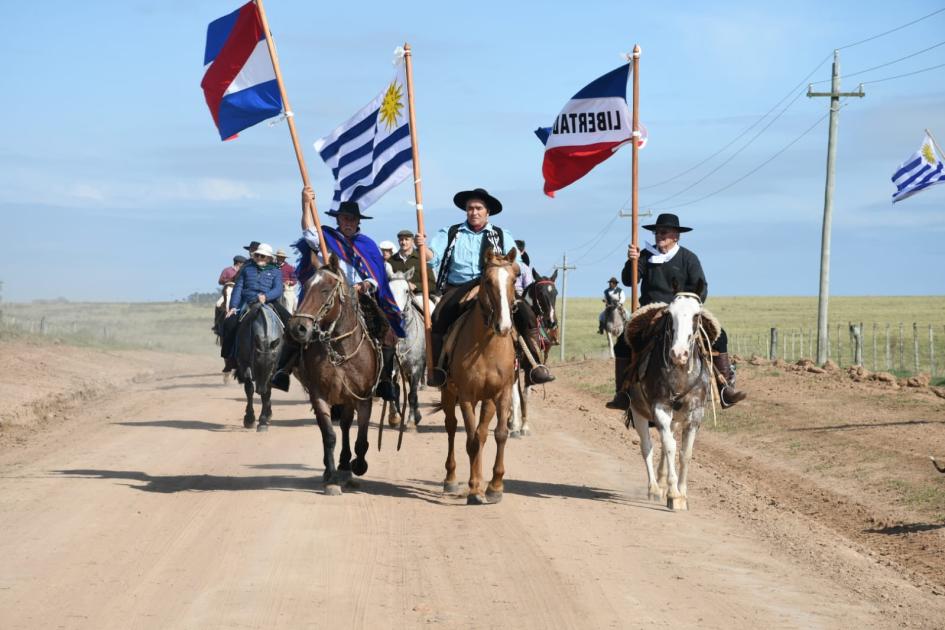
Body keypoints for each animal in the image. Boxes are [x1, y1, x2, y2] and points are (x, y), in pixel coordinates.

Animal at [286, 254, 378, 496]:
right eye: (306, 286)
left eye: (325, 290)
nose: (298, 328)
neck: (341, 351)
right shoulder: (319, 396)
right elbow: (329, 435)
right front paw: (331, 478)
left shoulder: (363, 398)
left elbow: (361, 438)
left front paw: (359, 465)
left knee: (346, 426)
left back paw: (347, 465)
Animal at [440, 249, 516, 506]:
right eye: (488, 281)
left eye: (514, 279)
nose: (504, 326)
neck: (486, 347)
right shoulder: (466, 396)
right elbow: (471, 440)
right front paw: (474, 489)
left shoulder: (501, 393)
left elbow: (499, 435)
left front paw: (494, 486)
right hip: (448, 393)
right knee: (452, 427)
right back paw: (451, 479)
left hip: (488, 400)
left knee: (482, 434)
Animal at [624, 288, 720, 512]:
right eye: (670, 315)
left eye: (696, 315)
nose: (678, 353)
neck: (680, 372)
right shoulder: (660, 408)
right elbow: (669, 447)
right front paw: (673, 494)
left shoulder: (695, 414)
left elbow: (685, 453)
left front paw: (682, 494)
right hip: (638, 412)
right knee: (647, 447)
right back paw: (654, 488)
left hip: (675, 419)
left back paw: (661, 481)